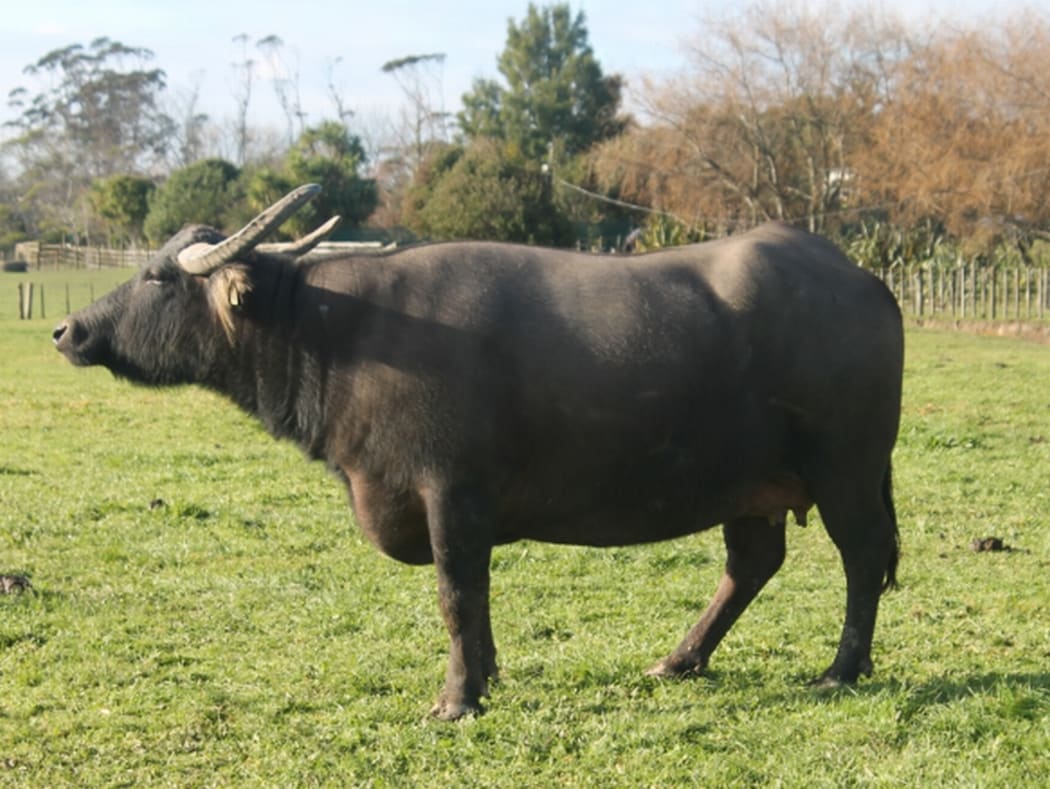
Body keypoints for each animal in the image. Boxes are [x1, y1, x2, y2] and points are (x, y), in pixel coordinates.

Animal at [54, 184, 903, 720]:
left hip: (848, 469)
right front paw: (487, 677)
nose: (69, 329)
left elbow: (458, 596)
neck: (343, 334)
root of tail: (863, 279)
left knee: (862, 560)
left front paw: (457, 696)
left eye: (157, 277)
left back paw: (840, 669)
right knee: (752, 563)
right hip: (750, 485)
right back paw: (681, 658)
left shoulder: (451, 493)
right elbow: (477, 600)